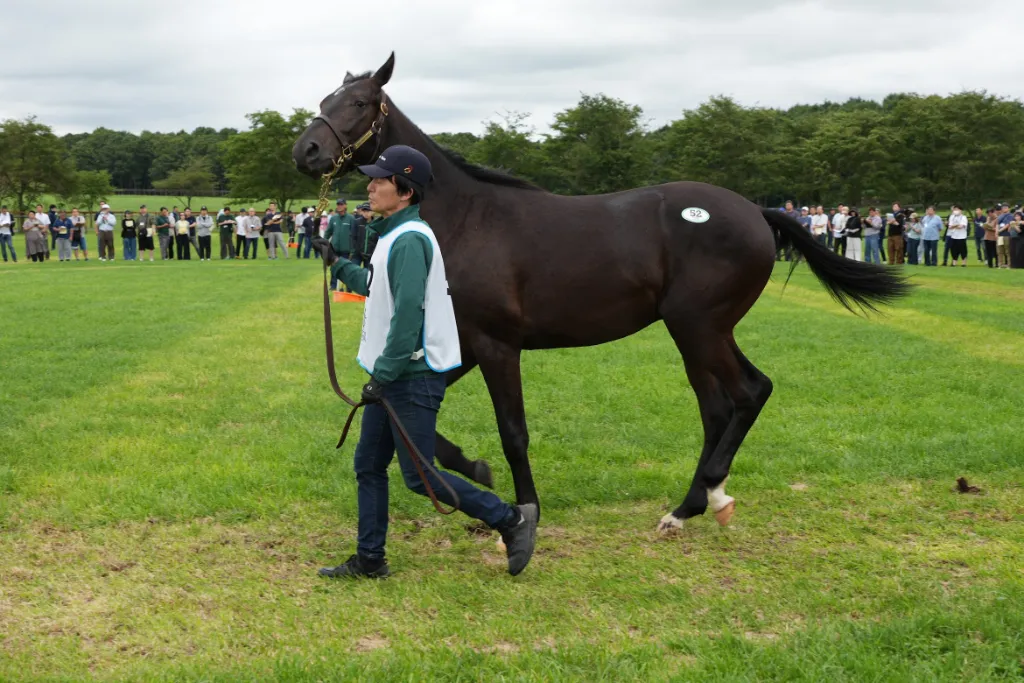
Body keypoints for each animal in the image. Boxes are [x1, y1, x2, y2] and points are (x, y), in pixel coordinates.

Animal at [292, 53, 910, 532]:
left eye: (360, 102)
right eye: (326, 97)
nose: (307, 152)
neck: (467, 218)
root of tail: (758, 212)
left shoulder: (497, 345)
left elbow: (513, 432)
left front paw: (525, 511)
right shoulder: (464, 342)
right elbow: (413, 422)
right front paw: (475, 470)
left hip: (698, 325)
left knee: (750, 392)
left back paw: (707, 495)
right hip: (700, 331)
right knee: (718, 408)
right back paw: (690, 506)